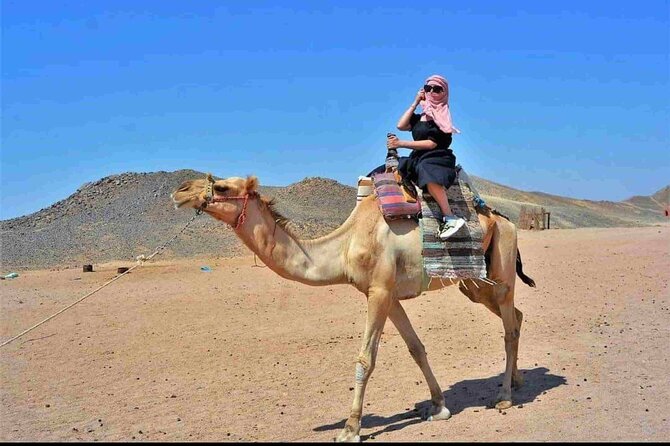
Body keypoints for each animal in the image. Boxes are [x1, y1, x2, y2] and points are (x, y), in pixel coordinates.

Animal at [171, 173, 535, 442]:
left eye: (221, 187)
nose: (180, 191)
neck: (345, 246)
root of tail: (507, 221)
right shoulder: (387, 295)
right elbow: (416, 348)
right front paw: (438, 406)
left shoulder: (379, 291)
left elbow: (365, 359)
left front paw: (350, 428)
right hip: (473, 285)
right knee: (516, 317)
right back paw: (517, 380)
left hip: (500, 270)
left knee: (508, 327)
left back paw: (505, 396)